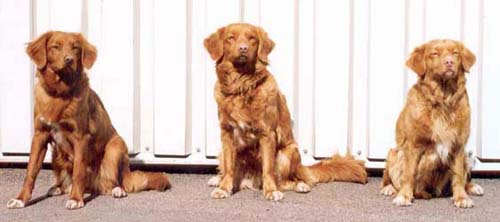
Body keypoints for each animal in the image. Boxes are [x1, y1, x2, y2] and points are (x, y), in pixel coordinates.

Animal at [6, 31, 170, 210]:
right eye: (55, 47)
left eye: (75, 48)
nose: (69, 60)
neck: (59, 94)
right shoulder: (40, 136)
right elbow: (30, 171)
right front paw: (21, 199)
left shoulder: (81, 138)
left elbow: (78, 172)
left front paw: (76, 199)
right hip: (56, 153)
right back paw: (58, 188)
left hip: (115, 148)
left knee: (111, 182)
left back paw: (116, 190)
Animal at [204, 23, 368, 201]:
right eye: (230, 38)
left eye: (252, 38)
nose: (243, 48)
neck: (242, 86)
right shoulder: (227, 133)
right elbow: (229, 167)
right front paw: (224, 188)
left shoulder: (267, 134)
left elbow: (268, 169)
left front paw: (271, 191)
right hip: (223, 152)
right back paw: (218, 179)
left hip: (288, 152)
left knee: (293, 180)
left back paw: (300, 185)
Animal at [378, 39, 484, 208]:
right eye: (434, 53)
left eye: (455, 53)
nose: (449, 62)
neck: (442, 100)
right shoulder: (413, 145)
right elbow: (408, 174)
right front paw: (404, 196)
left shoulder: (458, 146)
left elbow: (458, 177)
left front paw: (461, 197)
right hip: (394, 153)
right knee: (389, 179)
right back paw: (390, 188)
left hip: (467, 156)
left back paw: (472, 187)